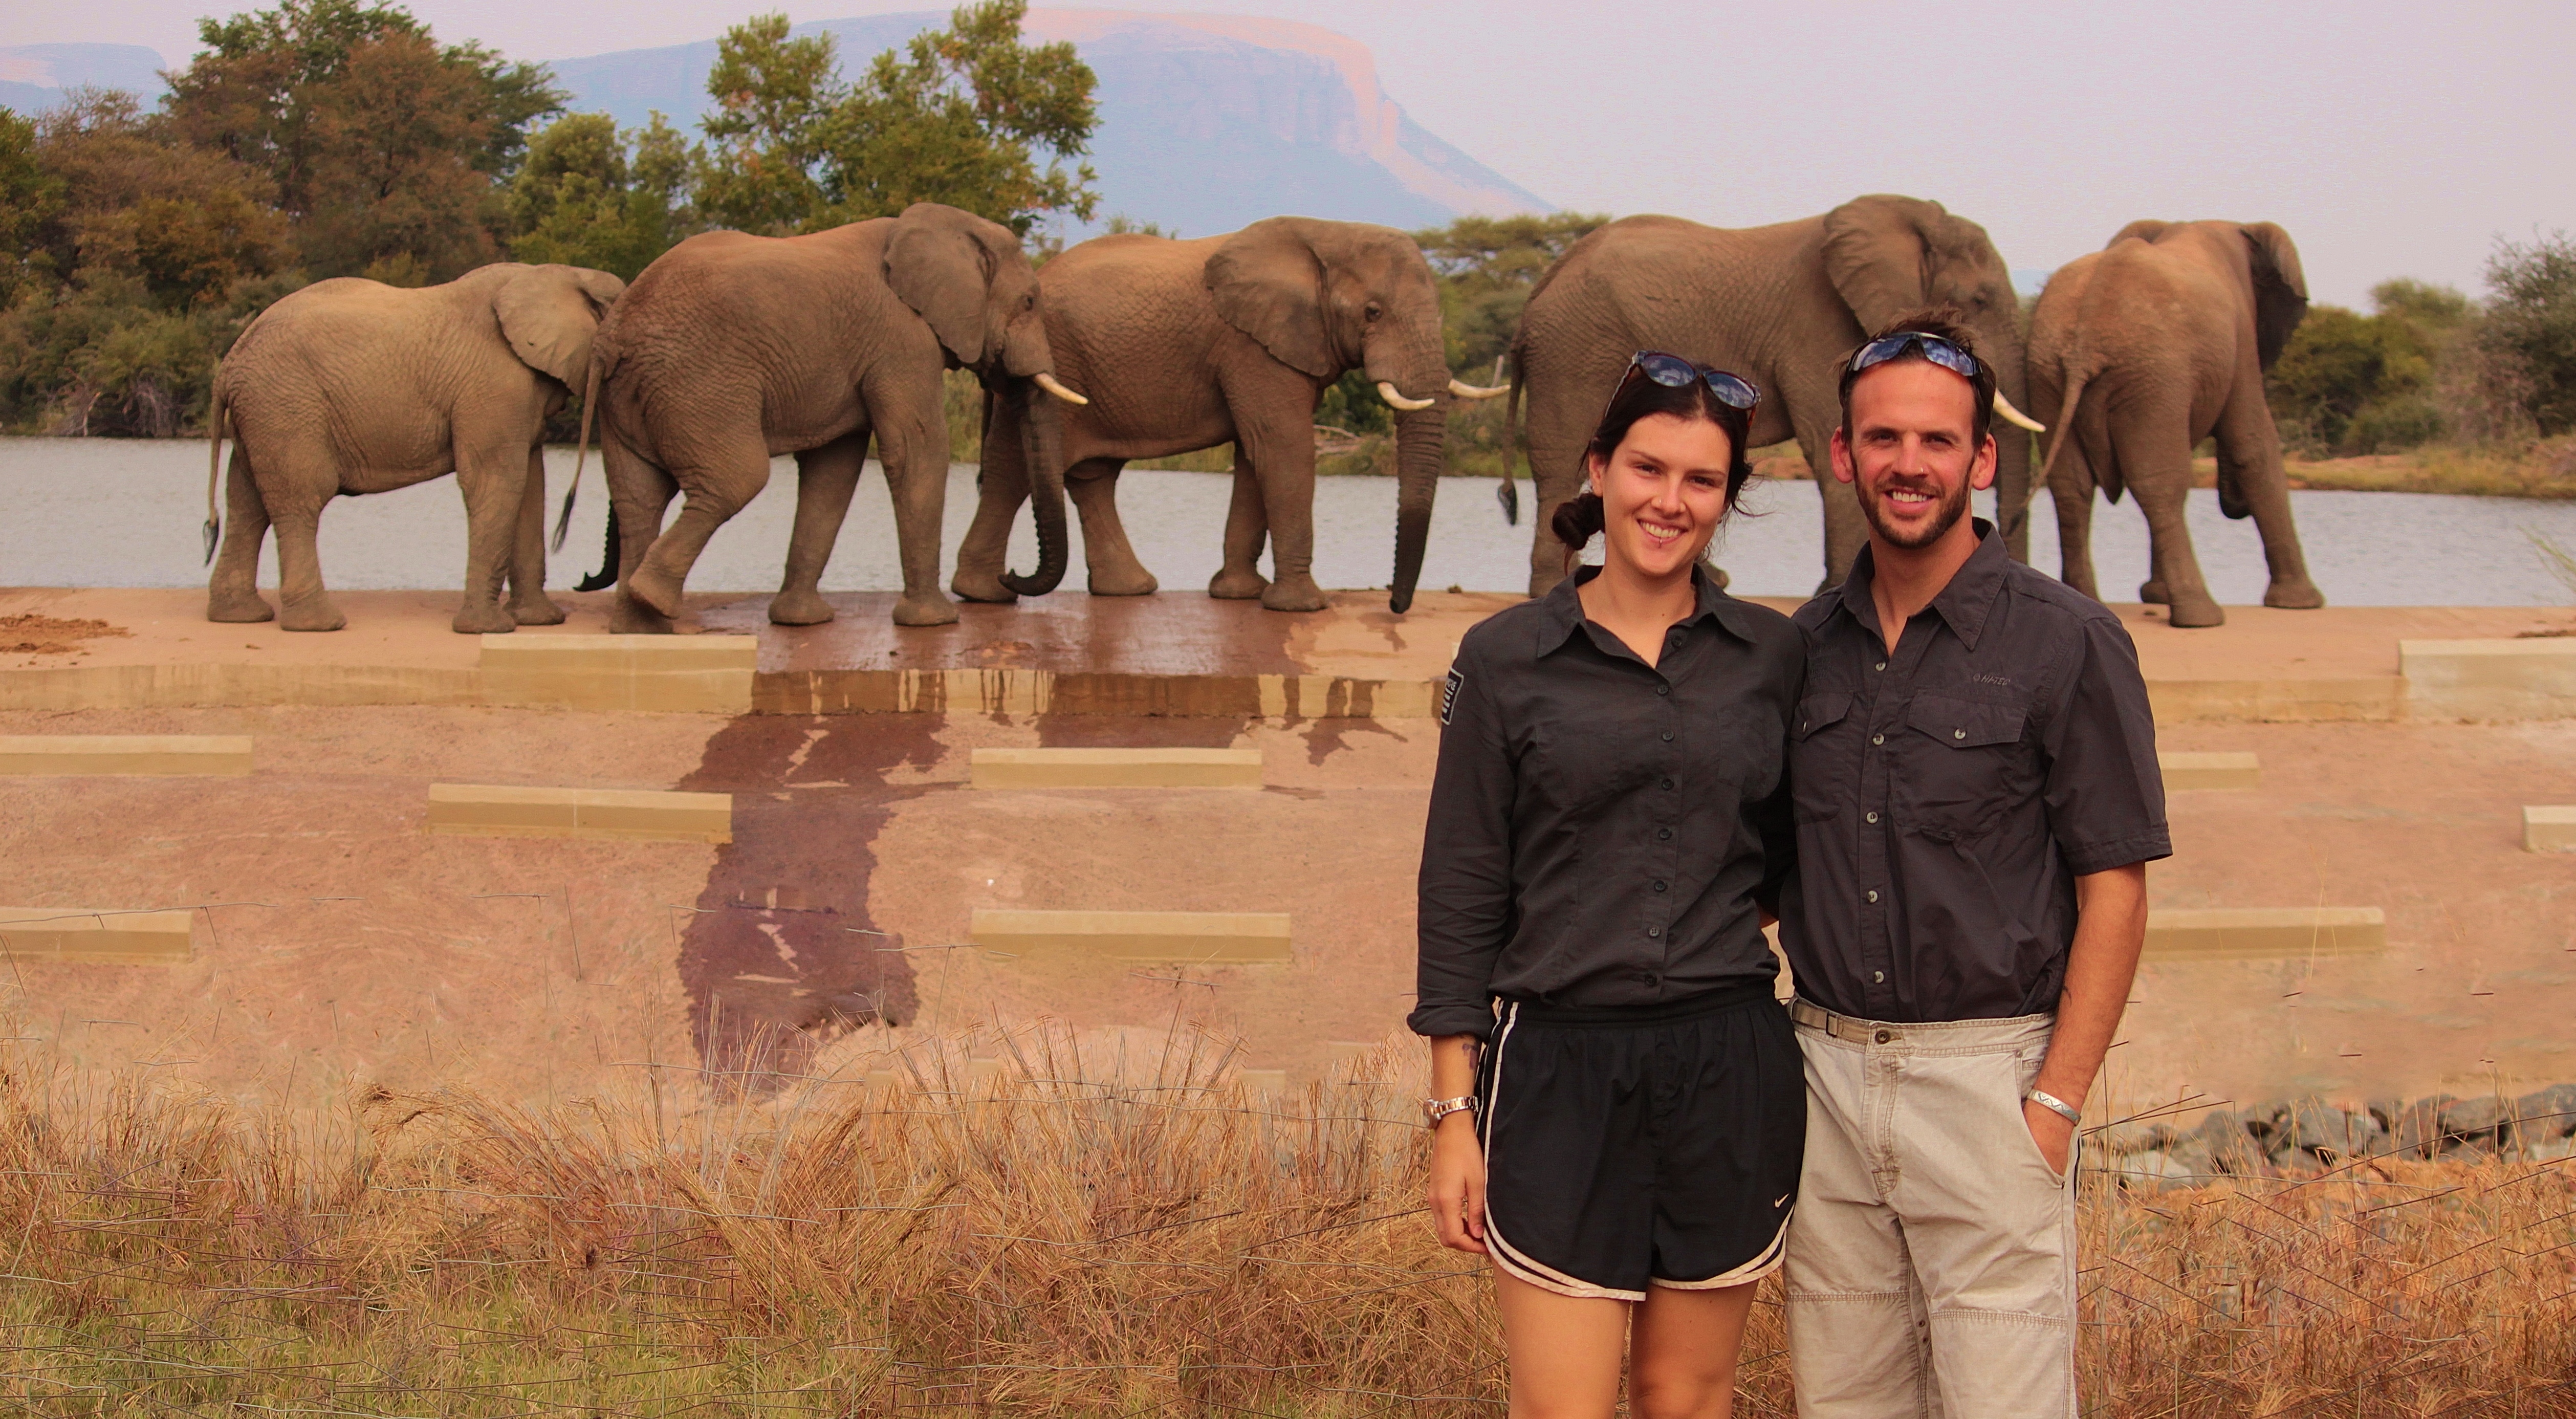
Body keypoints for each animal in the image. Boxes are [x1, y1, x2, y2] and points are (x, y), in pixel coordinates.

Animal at [202, 263, 623, 639]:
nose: (582, 581)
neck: (563, 274)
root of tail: (228, 364)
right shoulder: (492, 386)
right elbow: (496, 481)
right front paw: (488, 630)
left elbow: (531, 486)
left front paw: (540, 622)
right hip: (286, 408)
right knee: (301, 499)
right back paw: (320, 625)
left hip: (261, 414)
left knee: (247, 504)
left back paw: (240, 616)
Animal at [590, 202, 1082, 631]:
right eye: (1030, 302)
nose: (1009, 576)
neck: (943, 226)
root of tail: (614, 334)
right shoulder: (902, 339)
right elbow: (917, 451)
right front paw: (936, 622)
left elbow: (834, 470)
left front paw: (801, 621)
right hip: (700, 383)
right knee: (737, 479)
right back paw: (652, 599)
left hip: (631, 399)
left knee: (638, 494)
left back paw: (639, 628)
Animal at [948, 216, 1494, 615]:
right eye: (1373, 312)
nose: (1396, 605)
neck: (1329, 233)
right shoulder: (1253, 346)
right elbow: (1283, 445)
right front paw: (1302, 607)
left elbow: (1256, 454)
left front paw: (1240, 594)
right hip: (1042, 356)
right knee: (1014, 468)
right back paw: (987, 593)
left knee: (1092, 476)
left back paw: (1125, 589)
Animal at [1504, 194, 2050, 595]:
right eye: (1980, 300)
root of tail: (1541, 286)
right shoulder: (1819, 326)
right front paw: (1836, 590)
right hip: (1572, 353)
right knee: (1560, 466)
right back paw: (1550, 589)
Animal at [2019, 217, 2328, 628]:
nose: (2234, 505)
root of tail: (2086, 335)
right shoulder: (2241, 340)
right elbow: (2254, 445)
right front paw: (2302, 604)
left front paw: (2156, 595)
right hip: (2153, 375)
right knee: (2160, 483)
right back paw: (2201, 616)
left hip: (2051, 375)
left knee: (2073, 486)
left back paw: (2088, 600)